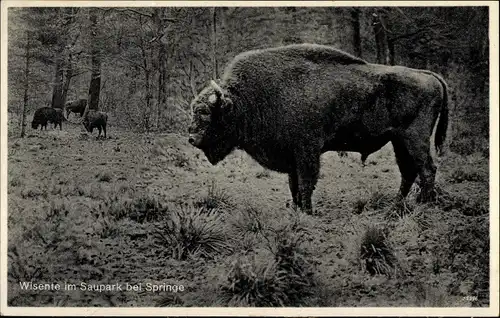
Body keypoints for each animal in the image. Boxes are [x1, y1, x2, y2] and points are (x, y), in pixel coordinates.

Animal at [188, 43, 450, 214]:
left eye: (207, 113)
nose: (192, 138)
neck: (245, 100)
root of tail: (429, 75)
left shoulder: (306, 152)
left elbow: (306, 183)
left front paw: (308, 211)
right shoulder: (292, 155)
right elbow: (294, 185)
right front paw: (296, 209)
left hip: (414, 138)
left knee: (426, 169)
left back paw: (424, 205)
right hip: (398, 141)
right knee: (409, 171)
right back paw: (396, 205)